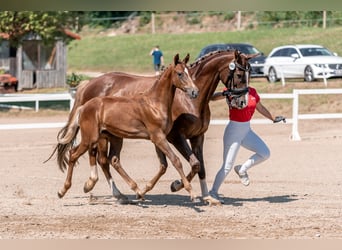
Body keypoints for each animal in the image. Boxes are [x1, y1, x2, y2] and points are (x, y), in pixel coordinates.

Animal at [55, 54, 199, 201]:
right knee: (74, 154)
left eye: (189, 72)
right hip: (90, 138)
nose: (194, 92)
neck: (155, 104)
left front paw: (145, 190)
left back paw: (133, 191)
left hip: (113, 138)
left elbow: (163, 165)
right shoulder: (158, 137)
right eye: (180, 73)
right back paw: (63, 190)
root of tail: (84, 107)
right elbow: (176, 161)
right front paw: (192, 193)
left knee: (112, 160)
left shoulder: (159, 138)